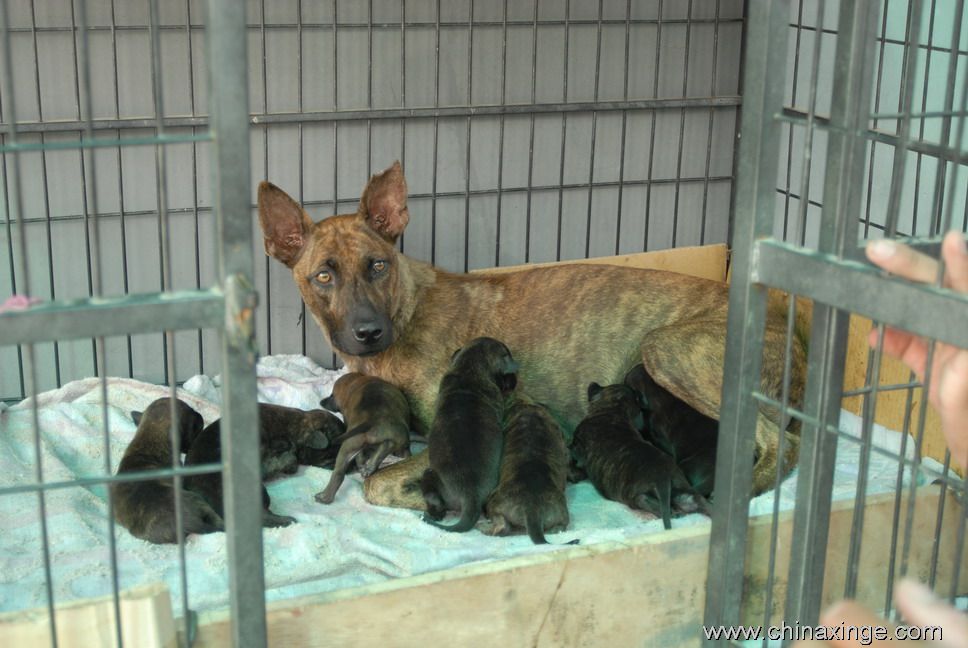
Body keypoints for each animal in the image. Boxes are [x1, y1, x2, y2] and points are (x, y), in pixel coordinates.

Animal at [315, 372, 412, 504]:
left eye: (332, 395)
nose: (321, 402)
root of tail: (372, 419)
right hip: (396, 441)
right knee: (388, 446)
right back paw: (370, 466)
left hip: (349, 445)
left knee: (339, 473)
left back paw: (325, 497)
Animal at [484, 395, 572, 544]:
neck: (527, 408)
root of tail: (532, 508)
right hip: (560, 514)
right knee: (560, 526)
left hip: (495, 502)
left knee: (501, 525)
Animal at [571, 382, 702, 529]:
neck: (612, 410)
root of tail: (662, 475)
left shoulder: (576, 446)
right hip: (682, 486)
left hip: (631, 493)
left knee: (642, 499)